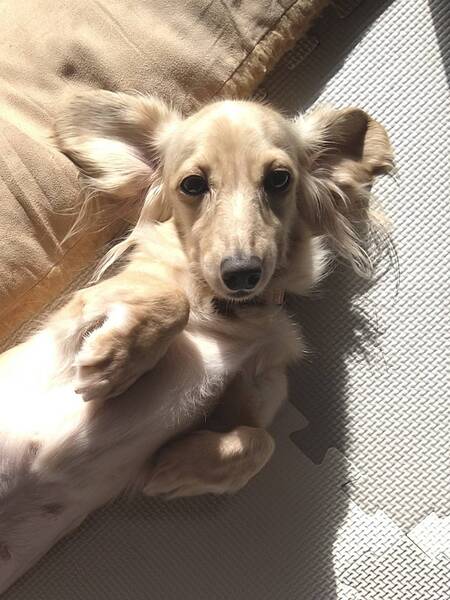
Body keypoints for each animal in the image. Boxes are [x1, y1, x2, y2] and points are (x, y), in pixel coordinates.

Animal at [0, 91, 392, 592]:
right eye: (192, 185)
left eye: (279, 179)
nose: (242, 273)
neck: (226, 318)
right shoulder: (75, 317)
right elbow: (171, 301)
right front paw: (112, 365)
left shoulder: (255, 396)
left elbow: (260, 441)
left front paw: (175, 469)